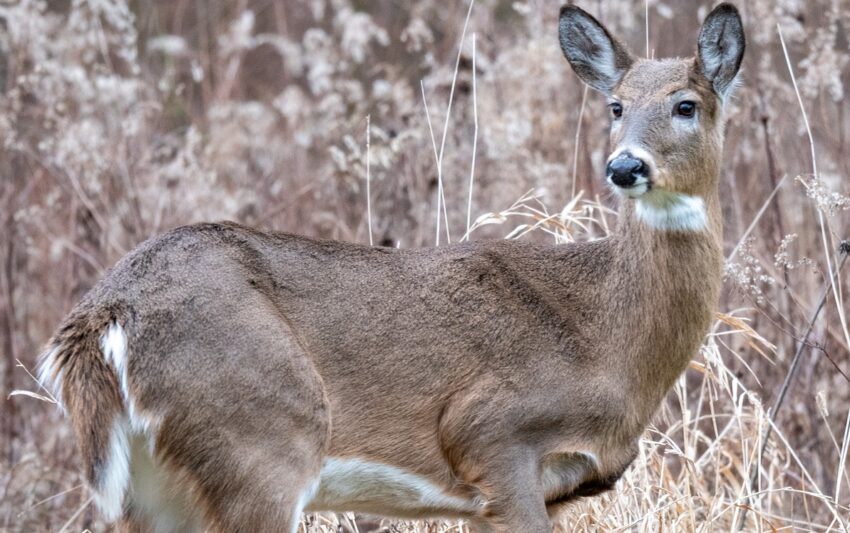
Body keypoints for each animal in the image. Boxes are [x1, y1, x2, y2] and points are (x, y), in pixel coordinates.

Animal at [36, 3, 744, 532]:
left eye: (685, 104)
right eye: (616, 106)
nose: (625, 167)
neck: (608, 340)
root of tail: (103, 317)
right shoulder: (492, 435)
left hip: (156, 486)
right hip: (260, 436)